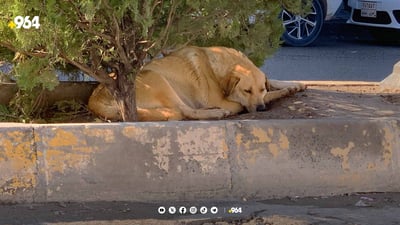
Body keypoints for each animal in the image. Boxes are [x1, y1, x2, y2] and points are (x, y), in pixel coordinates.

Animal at [89, 46, 304, 121]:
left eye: (260, 88)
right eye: (246, 90)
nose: (261, 109)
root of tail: (95, 99)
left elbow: (272, 82)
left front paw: (294, 84)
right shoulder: (226, 99)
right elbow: (256, 99)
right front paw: (284, 91)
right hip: (158, 80)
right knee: (185, 111)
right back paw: (216, 113)